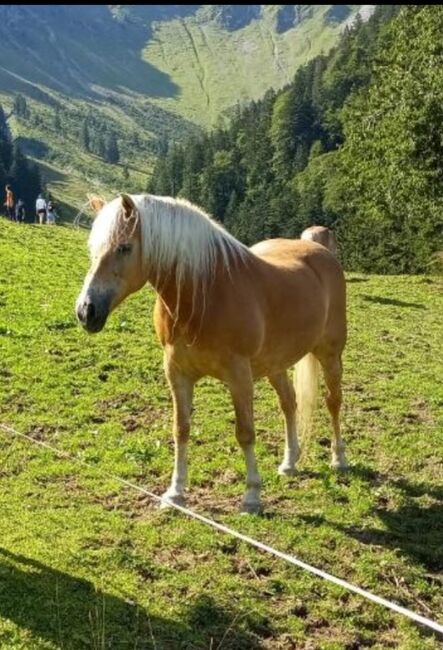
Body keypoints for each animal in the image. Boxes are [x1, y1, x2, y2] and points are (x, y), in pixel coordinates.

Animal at [76, 192, 348, 512]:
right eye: (93, 248)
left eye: (124, 247)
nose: (86, 311)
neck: (203, 295)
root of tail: (321, 251)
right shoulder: (177, 373)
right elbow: (180, 429)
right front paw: (175, 493)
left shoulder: (239, 377)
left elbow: (245, 432)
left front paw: (252, 496)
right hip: (275, 364)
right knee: (289, 403)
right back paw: (289, 463)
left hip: (330, 354)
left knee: (333, 402)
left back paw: (338, 459)